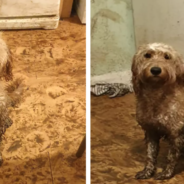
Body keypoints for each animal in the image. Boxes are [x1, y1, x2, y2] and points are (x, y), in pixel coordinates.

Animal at [132, 43, 184, 180]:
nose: (155, 70)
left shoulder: (175, 134)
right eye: (147, 55)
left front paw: (166, 173)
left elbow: (171, 157)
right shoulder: (150, 131)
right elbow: (150, 155)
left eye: (167, 56)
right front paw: (147, 171)